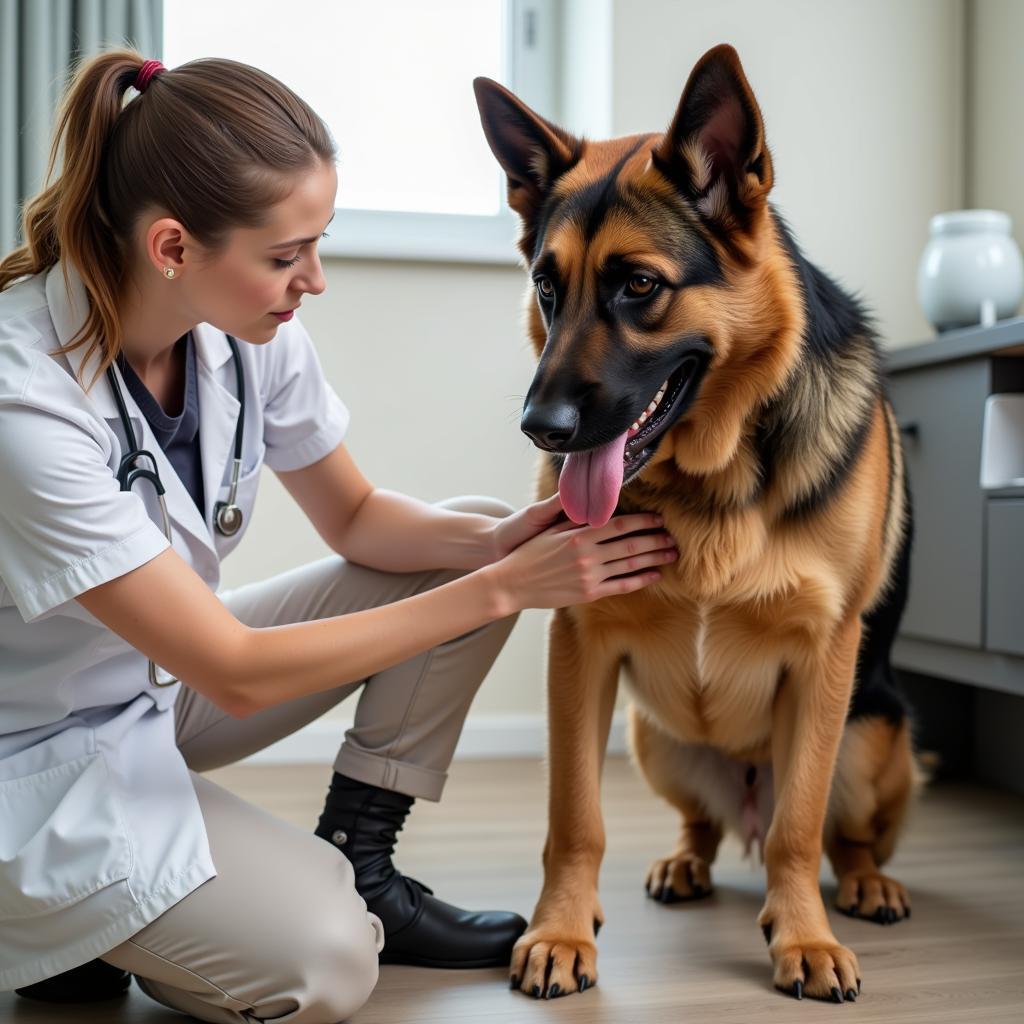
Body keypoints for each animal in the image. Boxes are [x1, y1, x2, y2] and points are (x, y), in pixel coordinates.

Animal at [475, 46, 925, 999]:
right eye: (546, 288)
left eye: (640, 286)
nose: (542, 428)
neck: (712, 472)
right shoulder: (580, 646)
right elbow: (575, 816)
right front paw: (561, 929)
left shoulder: (826, 657)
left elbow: (799, 828)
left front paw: (804, 938)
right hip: (654, 739)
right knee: (706, 827)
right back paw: (685, 861)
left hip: (871, 737)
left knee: (830, 832)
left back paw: (865, 882)